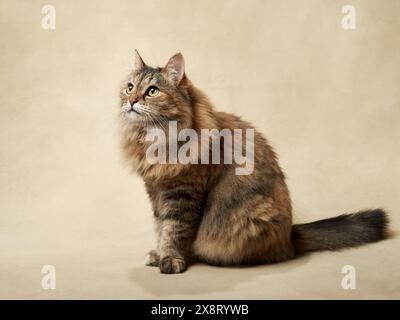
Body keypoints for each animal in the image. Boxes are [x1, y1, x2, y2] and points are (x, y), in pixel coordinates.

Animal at [118, 51, 388, 274]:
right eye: (129, 87)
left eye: (152, 91)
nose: (131, 101)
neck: (154, 140)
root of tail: (290, 236)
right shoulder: (156, 191)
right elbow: (159, 227)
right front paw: (159, 254)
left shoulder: (183, 194)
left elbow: (173, 230)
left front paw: (171, 259)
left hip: (251, 215)